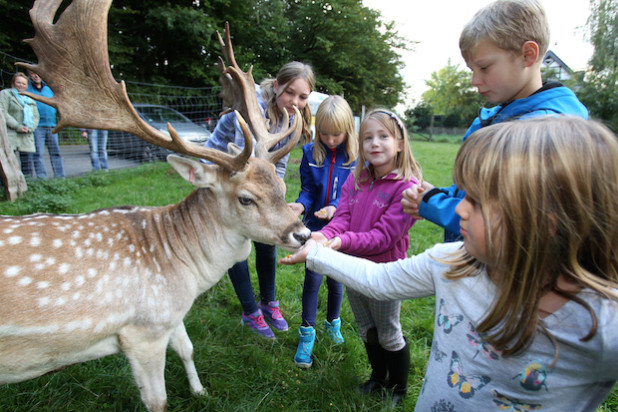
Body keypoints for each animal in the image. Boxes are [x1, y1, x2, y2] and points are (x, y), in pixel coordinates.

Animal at [0, 0, 308, 412]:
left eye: (281, 183)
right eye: (246, 198)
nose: (302, 233)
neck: (182, 269)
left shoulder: (169, 317)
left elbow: (188, 348)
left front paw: (200, 391)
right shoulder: (142, 331)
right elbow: (157, 400)